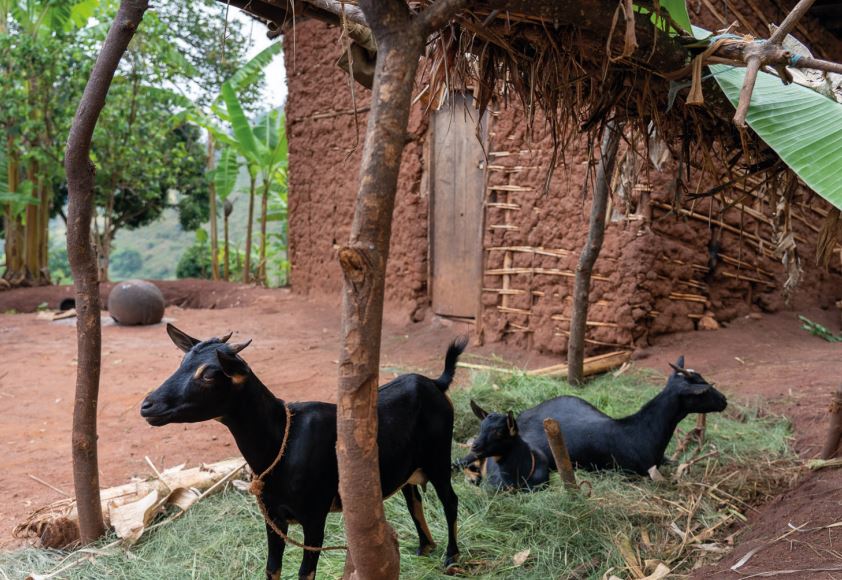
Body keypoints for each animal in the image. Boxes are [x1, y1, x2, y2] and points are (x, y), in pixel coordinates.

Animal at [139, 326, 466, 580]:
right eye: (182, 362)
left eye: (208, 374)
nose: (147, 405)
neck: (282, 442)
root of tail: (435, 383)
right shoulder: (273, 516)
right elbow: (272, 568)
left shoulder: (314, 515)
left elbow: (305, 572)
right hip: (409, 466)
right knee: (414, 498)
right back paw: (424, 547)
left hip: (439, 456)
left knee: (450, 500)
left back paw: (451, 557)